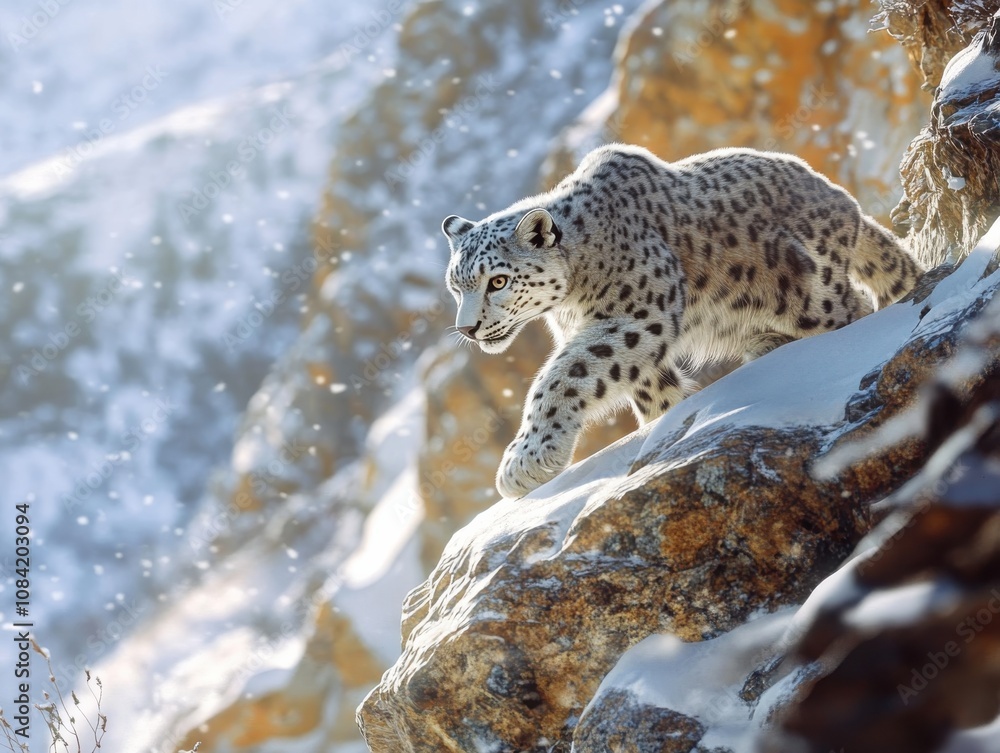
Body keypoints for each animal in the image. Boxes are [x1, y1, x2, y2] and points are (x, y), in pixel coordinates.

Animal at [442, 144, 923, 498]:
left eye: (498, 281)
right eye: (456, 286)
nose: (467, 329)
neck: (573, 297)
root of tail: (841, 197)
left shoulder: (637, 316)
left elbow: (562, 374)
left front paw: (526, 461)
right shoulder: (638, 353)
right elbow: (655, 398)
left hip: (810, 296)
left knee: (853, 310)